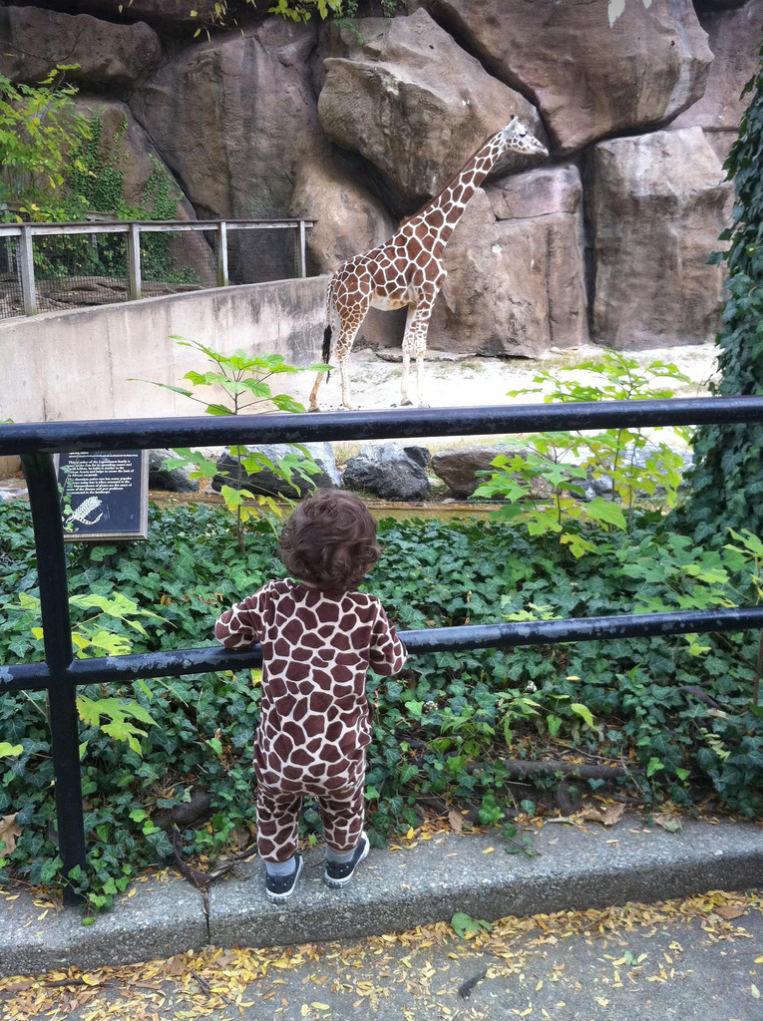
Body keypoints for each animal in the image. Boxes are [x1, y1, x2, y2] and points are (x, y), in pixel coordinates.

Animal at [309, 116, 548, 412]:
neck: (437, 233)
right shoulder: (428, 294)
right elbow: (420, 346)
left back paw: (314, 401)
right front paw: (423, 399)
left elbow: (406, 345)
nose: (543, 150)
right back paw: (348, 402)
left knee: (328, 347)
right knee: (342, 347)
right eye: (523, 134)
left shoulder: (413, 300)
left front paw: (405, 397)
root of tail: (333, 279)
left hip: (340, 311)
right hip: (356, 308)